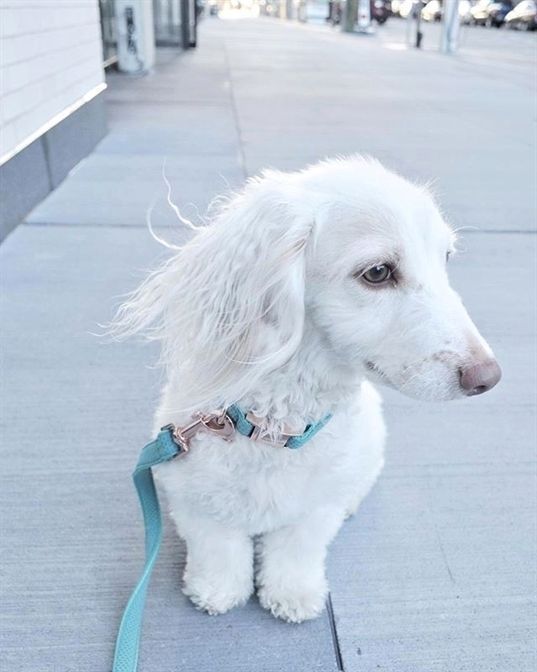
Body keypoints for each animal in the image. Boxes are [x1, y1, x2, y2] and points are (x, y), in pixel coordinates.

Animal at [114, 158, 502, 624]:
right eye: (377, 272)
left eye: (445, 258)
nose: (489, 377)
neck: (274, 431)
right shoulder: (193, 499)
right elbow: (218, 548)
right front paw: (216, 589)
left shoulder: (314, 512)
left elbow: (295, 552)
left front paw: (291, 594)